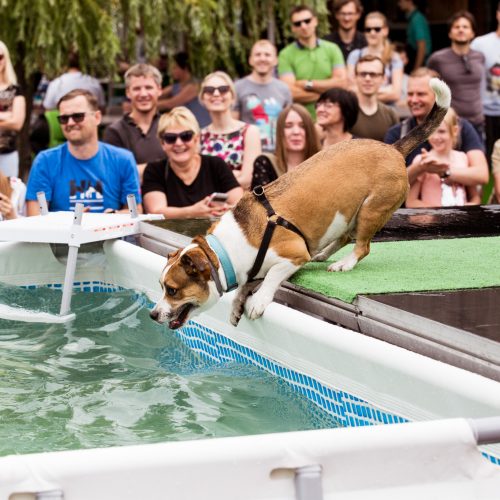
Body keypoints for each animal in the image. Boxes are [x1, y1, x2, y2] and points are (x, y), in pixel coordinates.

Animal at [150, 77, 452, 328]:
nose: (153, 313)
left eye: (172, 290)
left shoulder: (291, 255)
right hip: (349, 214)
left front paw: (258, 301)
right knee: (345, 236)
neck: (224, 252)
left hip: (371, 209)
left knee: (362, 246)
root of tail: (392, 148)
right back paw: (325, 253)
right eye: (162, 286)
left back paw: (344, 264)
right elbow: (249, 285)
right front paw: (238, 304)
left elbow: (271, 277)